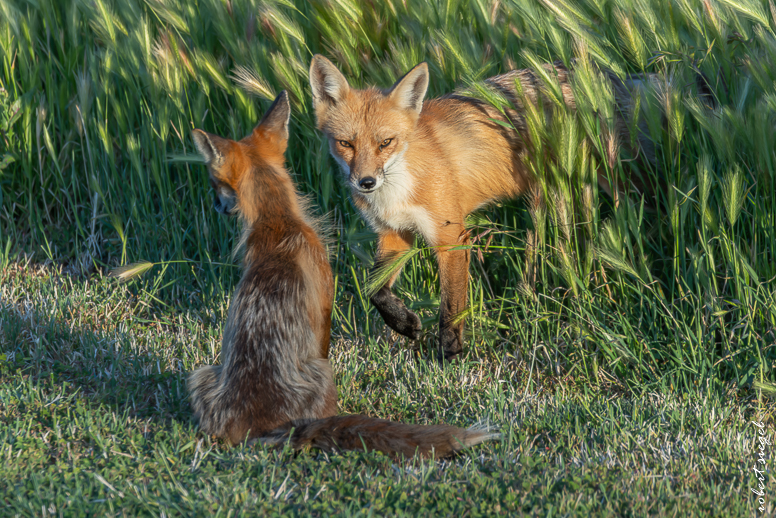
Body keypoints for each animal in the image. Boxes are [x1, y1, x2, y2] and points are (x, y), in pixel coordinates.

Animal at [186, 92, 498, 460]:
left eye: (214, 183)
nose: (216, 205)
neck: (278, 225)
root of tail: (258, 427)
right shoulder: (323, 306)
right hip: (322, 373)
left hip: (202, 374)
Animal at [310, 54, 660, 364]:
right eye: (346, 143)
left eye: (386, 143)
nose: (365, 182)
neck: (397, 187)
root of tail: (593, 69)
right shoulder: (394, 235)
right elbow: (376, 292)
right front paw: (406, 324)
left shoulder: (451, 238)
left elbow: (450, 310)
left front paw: (449, 359)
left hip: (611, 176)